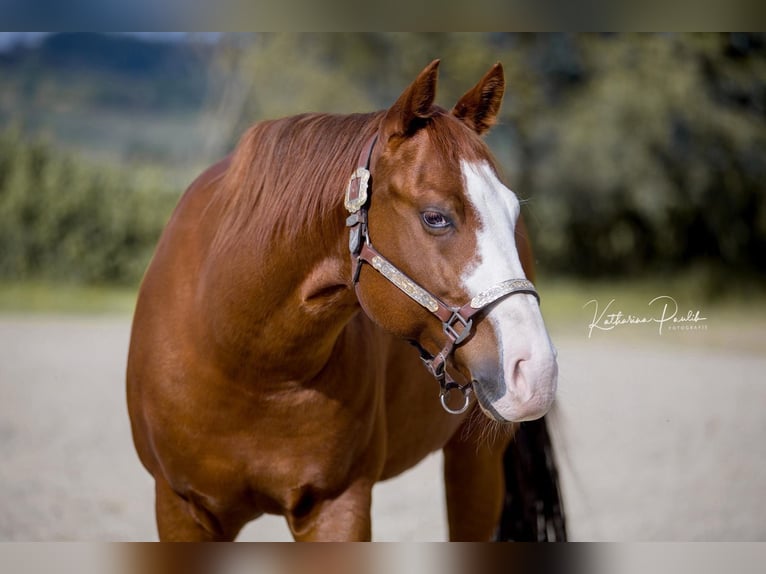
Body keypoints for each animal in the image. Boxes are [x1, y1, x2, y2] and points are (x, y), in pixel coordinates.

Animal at [127, 60, 560, 541]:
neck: (244, 360)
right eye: (435, 217)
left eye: (513, 213)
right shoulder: (180, 508)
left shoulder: (337, 505)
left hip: (475, 463)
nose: (534, 370)